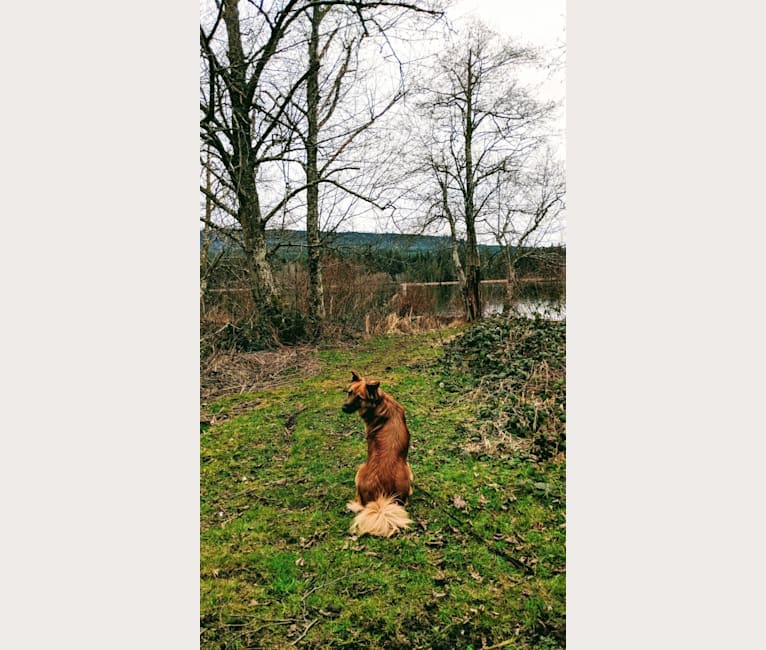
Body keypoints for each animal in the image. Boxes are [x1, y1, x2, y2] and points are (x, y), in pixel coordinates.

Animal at [342, 368, 414, 536]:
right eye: (349, 392)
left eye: (359, 398)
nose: (344, 408)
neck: (379, 402)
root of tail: (381, 498)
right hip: (408, 470)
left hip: (360, 470)